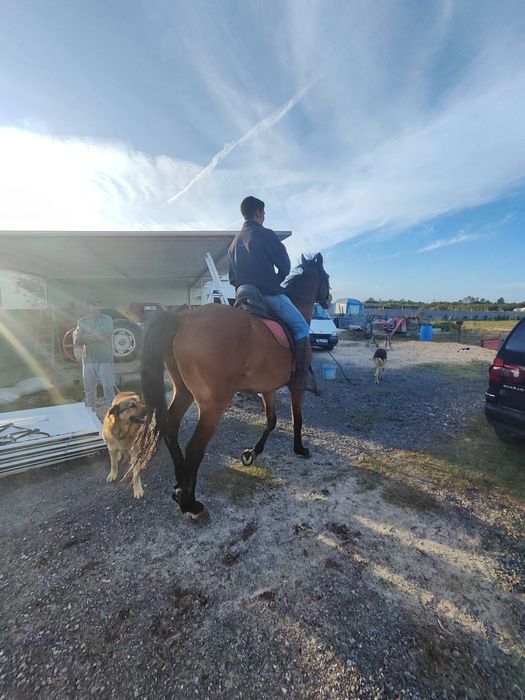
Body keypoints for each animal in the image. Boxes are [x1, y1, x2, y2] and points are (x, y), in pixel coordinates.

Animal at [130, 253, 331, 519]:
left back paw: (179, 486)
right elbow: (297, 419)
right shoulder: (296, 389)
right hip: (212, 405)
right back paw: (189, 503)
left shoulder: (267, 389)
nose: (329, 299)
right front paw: (299, 449)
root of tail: (183, 318)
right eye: (325, 276)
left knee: (170, 427)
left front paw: (252, 453)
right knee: (195, 446)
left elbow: (271, 420)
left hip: (183, 392)